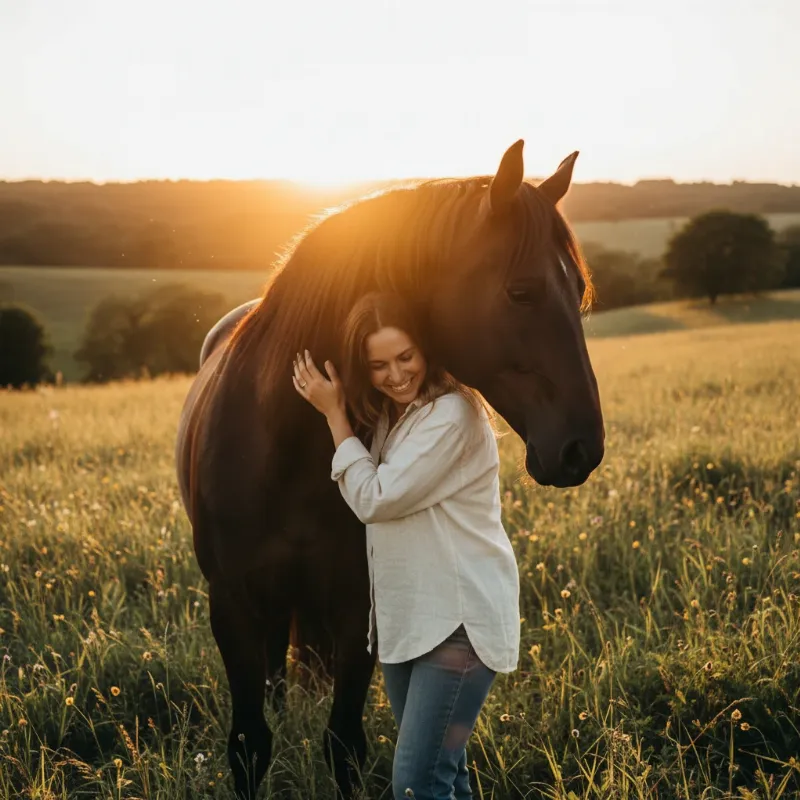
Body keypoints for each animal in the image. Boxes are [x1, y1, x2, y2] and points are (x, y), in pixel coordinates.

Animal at [176, 140, 604, 798]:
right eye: (521, 292)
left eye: (579, 289)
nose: (583, 448)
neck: (286, 448)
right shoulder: (232, 606)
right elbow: (249, 744)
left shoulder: (360, 604)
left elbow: (343, 743)